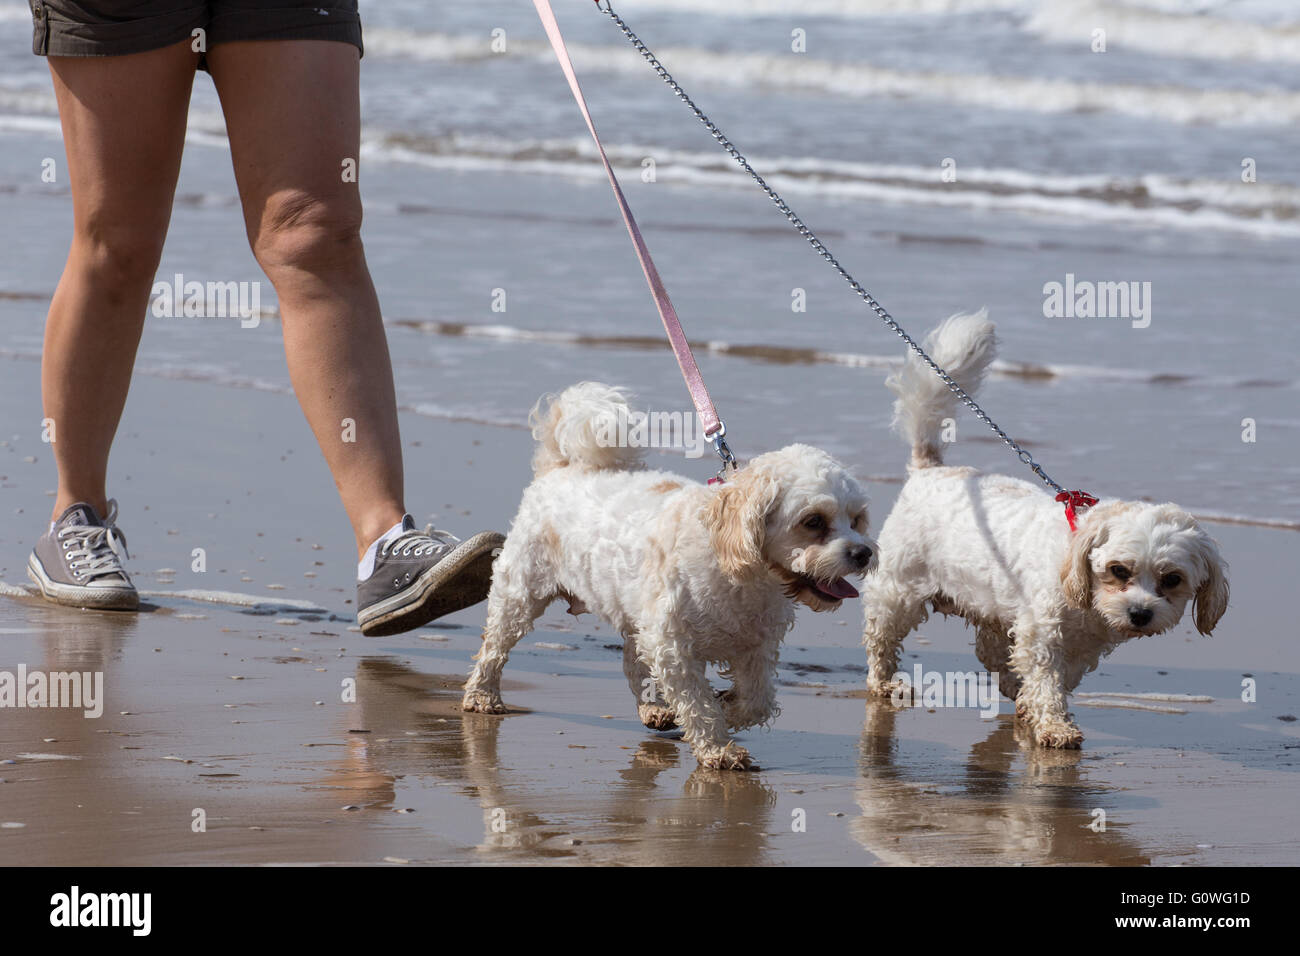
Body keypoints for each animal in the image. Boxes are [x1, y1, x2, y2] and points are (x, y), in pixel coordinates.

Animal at [462, 382, 878, 770]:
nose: (864, 553)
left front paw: (729, 709)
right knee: (495, 648)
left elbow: (758, 701)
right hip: (520, 594)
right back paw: (482, 695)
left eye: (857, 519)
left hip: (635, 612)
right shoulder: (675, 646)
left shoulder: (755, 646)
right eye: (813, 521)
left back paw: (654, 709)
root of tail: (562, 468)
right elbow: (698, 703)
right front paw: (718, 747)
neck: (739, 571)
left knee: (632, 661)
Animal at [863, 314, 1227, 749]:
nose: (1140, 614)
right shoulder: (1043, 632)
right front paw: (1054, 725)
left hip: (993, 601)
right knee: (883, 638)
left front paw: (1033, 708)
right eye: (1119, 570)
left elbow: (1058, 678)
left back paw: (1010, 685)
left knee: (991, 649)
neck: (1082, 585)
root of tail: (930, 469)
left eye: (1172, 579)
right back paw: (884, 682)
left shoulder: (1079, 647)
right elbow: (1046, 679)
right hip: (899, 592)